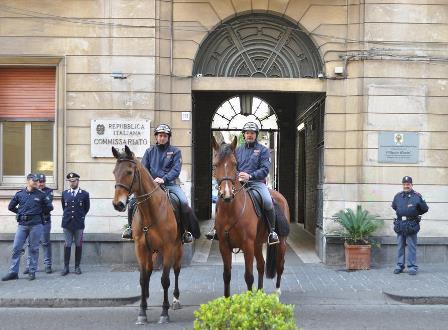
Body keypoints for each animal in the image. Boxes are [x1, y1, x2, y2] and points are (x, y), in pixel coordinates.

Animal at [111, 146, 182, 324]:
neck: (151, 211)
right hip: (152, 251)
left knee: (176, 270)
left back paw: (176, 300)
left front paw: (164, 313)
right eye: (114, 171)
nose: (118, 204)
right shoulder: (141, 248)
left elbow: (165, 279)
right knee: (149, 270)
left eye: (129, 172)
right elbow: (143, 278)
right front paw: (142, 312)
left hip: (178, 247)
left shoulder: (168, 248)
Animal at [211, 135, 288, 298]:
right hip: (258, 244)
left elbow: (248, 276)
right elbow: (226, 275)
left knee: (280, 265)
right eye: (215, 164)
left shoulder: (247, 245)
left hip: (281, 243)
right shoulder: (224, 245)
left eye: (234, 164)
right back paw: (260, 293)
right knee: (261, 265)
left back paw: (277, 291)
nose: (227, 194)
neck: (231, 211)